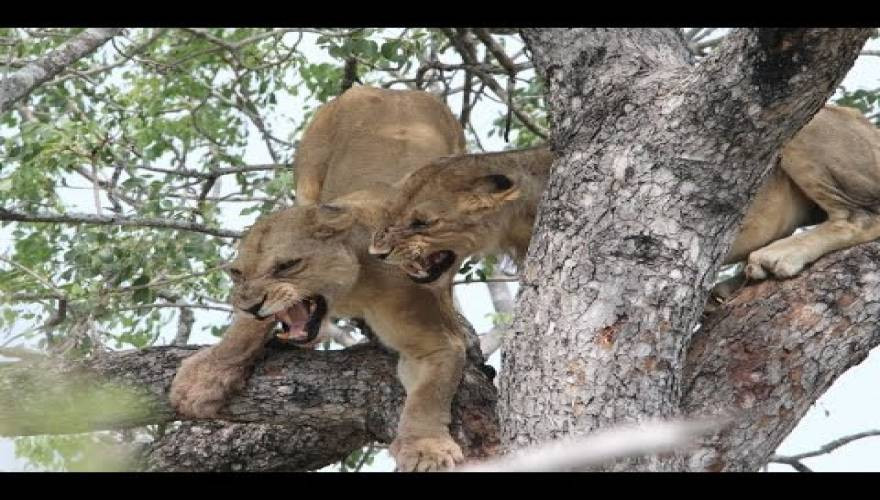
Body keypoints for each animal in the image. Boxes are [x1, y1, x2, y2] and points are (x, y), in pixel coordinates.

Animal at [169, 84, 470, 470]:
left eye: (287, 265)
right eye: (237, 274)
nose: (251, 304)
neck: (351, 290)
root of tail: (394, 89)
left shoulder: (435, 341)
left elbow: (428, 396)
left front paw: (426, 448)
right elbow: (243, 331)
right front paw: (203, 378)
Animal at [372, 106, 880, 292]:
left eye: (421, 223)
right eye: (391, 213)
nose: (378, 253)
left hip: (807, 130)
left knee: (859, 217)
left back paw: (778, 257)